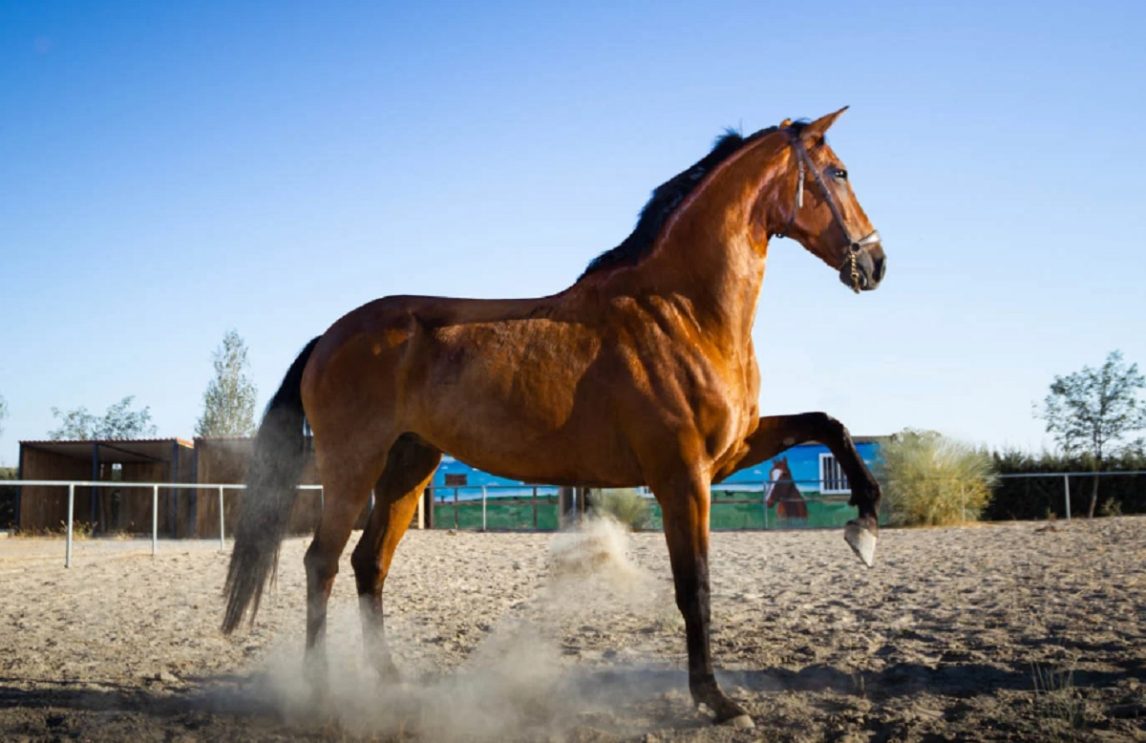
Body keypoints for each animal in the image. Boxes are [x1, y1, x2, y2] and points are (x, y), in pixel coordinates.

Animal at [222, 107, 886, 728]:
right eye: (838, 172)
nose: (875, 263)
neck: (683, 310)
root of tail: (331, 335)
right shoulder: (683, 475)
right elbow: (694, 587)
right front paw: (717, 701)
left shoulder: (733, 449)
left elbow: (830, 424)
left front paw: (865, 526)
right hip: (354, 467)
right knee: (322, 563)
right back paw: (320, 697)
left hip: (408, 468)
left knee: (369, 563)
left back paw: (390, 682)